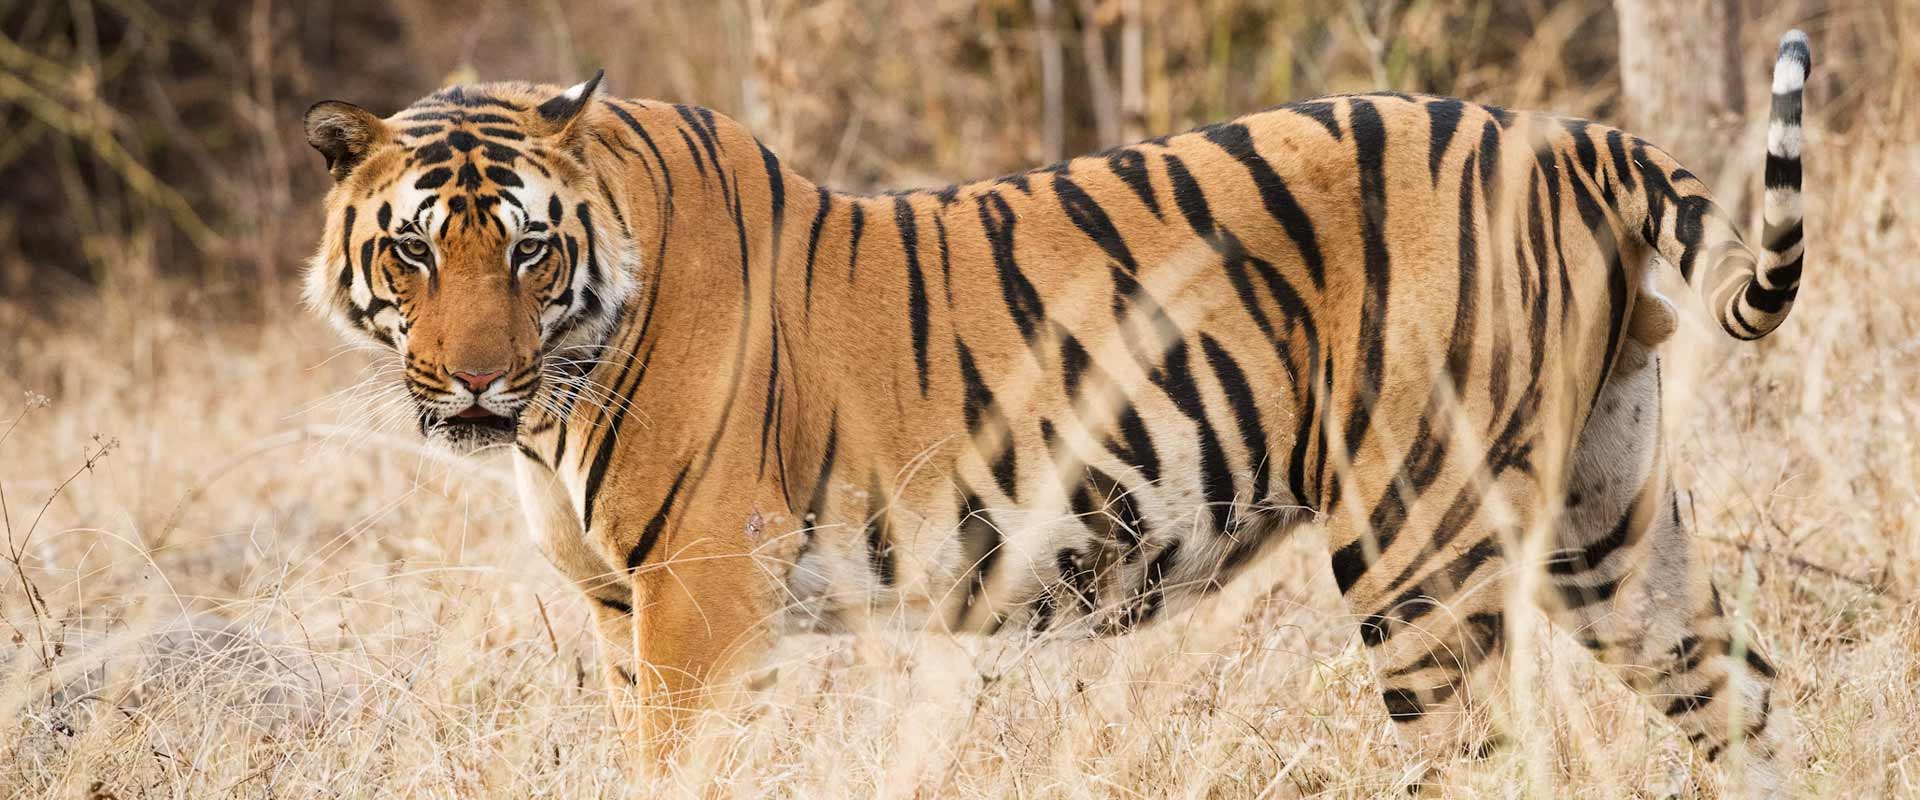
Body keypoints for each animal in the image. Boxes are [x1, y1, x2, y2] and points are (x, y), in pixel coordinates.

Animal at [300, 29, 1811, 794]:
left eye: (528, 253)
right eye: (416, 253)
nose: (476, 380)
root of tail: (1563, 138)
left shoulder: (699, 599)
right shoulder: (625, 609)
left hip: (1418, 541)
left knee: (1492, 757)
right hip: (1607, 517)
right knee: (1740, 691)